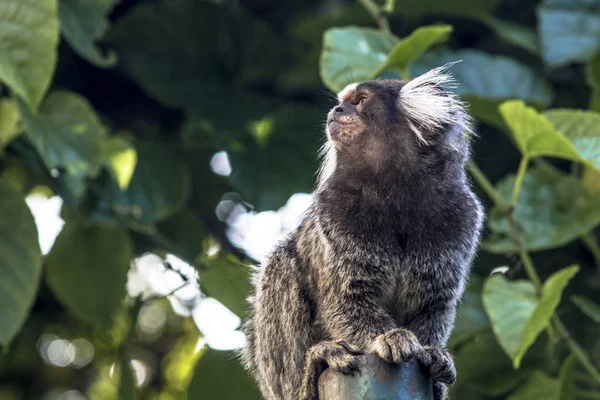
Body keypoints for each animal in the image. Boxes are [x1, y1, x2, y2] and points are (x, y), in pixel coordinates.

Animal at [239, 66, 482, 400]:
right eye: (342, 101)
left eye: (360, 100)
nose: (337, 110)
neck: (396, 192)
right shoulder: (334, 212)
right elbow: (347, 301)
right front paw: (389, 338)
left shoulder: (462, 217)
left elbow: (434, 305)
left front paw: (433, 356)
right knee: (281, 266)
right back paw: (311, 371)